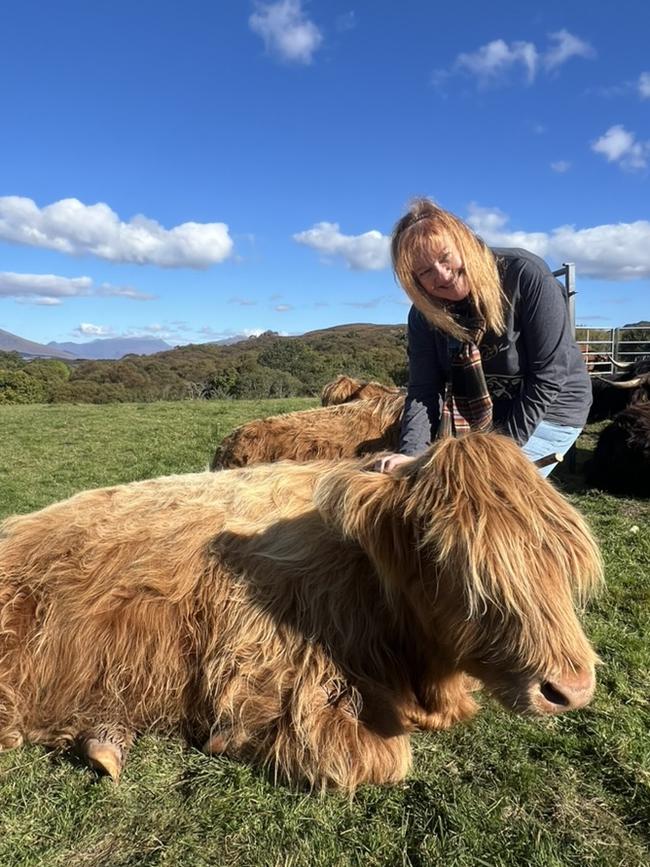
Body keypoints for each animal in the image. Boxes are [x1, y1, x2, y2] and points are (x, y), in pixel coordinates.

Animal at [0, 438, 604, 792]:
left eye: (563, 558)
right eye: (443, 556)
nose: (569, 689)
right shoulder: (271, 668)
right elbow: (384, 759)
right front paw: (226, 740)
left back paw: (105, 740)